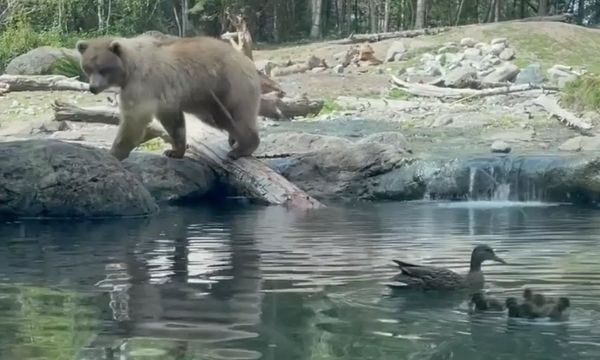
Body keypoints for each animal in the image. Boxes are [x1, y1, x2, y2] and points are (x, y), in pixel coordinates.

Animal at [75, 33, 262, 160]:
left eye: (103, 69)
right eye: (88, 68)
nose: (93, 87)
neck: (128, 69)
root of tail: (248, 62)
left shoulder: (142, 84)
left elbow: (134, 120)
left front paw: (113, 153)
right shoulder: (164, 96)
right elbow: (173, 122)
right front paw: (174, 151)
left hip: (229, 85)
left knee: (235, 116)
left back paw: (243, 147)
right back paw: (234, 140)